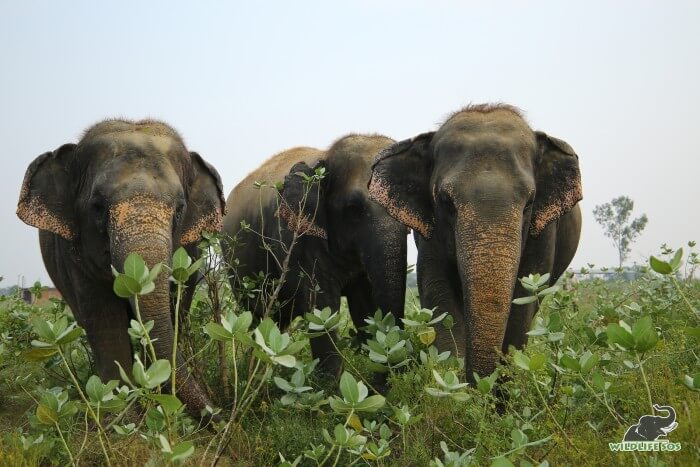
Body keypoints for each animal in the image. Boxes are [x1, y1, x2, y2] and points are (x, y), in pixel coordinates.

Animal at [16, 119, 224, 416]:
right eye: (97, 206)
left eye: (179, 209)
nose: (216, 415)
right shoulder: (76, 257)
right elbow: (104, 316)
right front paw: (122, 415)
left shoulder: (190, 252)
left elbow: (175, 308)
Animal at [224, 135, 410, 376]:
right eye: (353, 208)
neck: (326, 157)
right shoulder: (301, 236)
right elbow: (322, 307)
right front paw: (331, 384)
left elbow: (364, 306)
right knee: (259, 315)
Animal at [370, 104, 584, 382]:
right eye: (445, 201)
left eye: (529, 202)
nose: (476, 383)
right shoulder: (431, 234)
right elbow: (438, 291)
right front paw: (453, 382)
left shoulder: (545, 231)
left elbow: (524, 296)